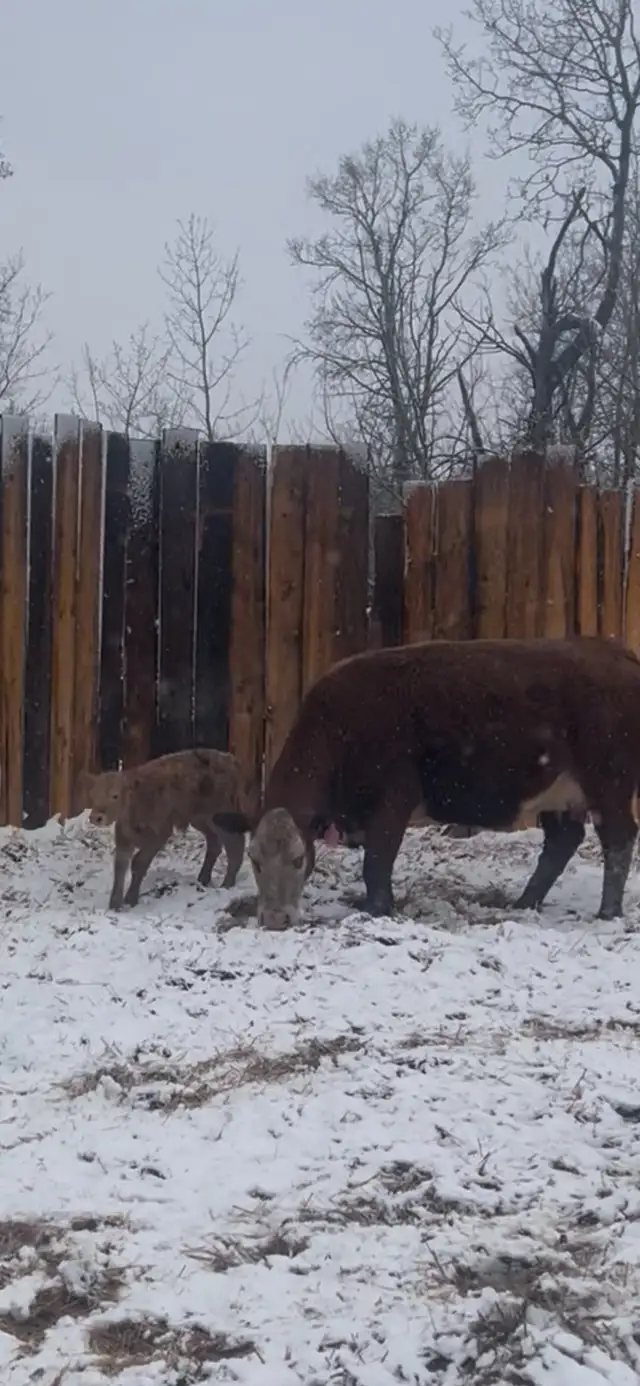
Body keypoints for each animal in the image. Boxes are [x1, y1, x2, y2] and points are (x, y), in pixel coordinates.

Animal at [80, 748, 248, 910]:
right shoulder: (124, 839)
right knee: (214, 844)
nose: (96, 817)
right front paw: (114, 904)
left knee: (235, 847)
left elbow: (138, 863)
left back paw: (226, 884)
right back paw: (203, 880)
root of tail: (232, 761)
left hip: (220, 817)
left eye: (115, 795)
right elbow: (120, 868)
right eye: (93, 795)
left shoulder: (159, 835)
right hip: (199, 819)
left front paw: (130, 899)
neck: (138, 800)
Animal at [211, 636, 640, 930]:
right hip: (559, 794)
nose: (275, 919)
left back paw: (607, 912)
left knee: (619, 837)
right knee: (563, 841)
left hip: (609, 784)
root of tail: (618, 655)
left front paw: (376, 909)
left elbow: (377, 862)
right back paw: (524, 902)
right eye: (255, 860)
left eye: (299, 859)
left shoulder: (393, 800)